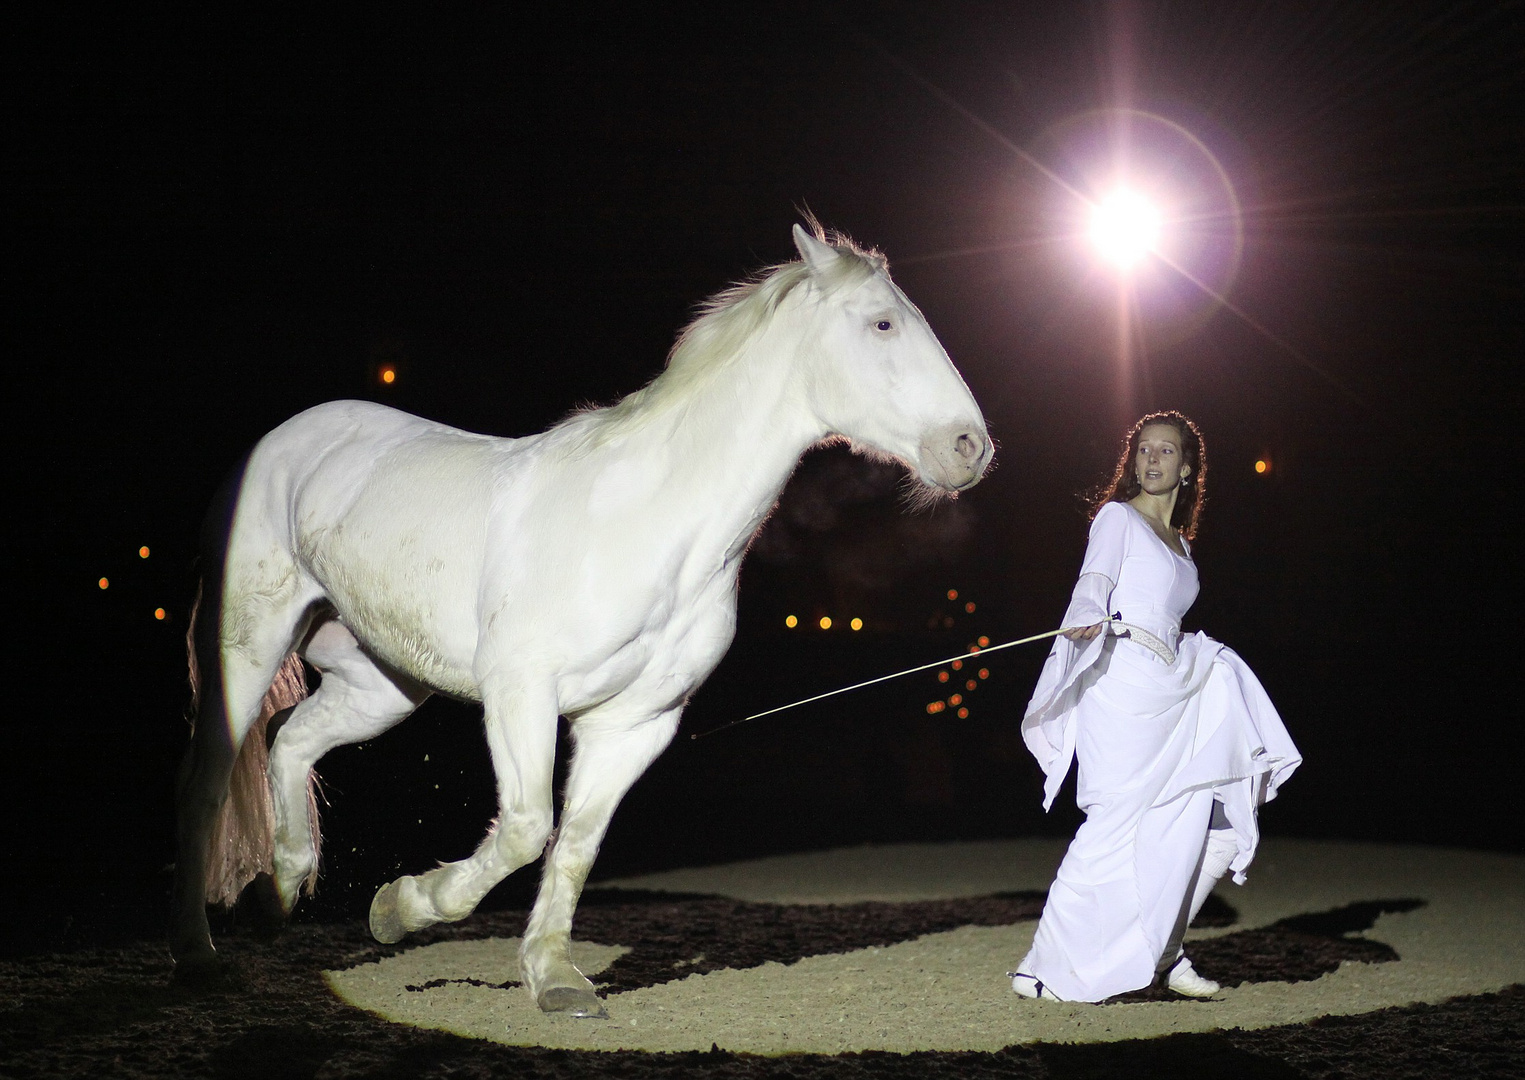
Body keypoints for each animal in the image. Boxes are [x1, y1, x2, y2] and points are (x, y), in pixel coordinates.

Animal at [173, 224, 994, 1018]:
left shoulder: (633, 722)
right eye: (883, 322)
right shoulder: (519, 693)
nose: (970, 447)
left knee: (290, 741)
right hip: (248, 648)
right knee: (209, 777)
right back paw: (201, 957)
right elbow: (526, 829)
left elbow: (575, 845)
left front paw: (553, 978)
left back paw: (278, 893)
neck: (642, 523)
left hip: (381, 683)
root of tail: (282, 440)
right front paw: (404, 905)